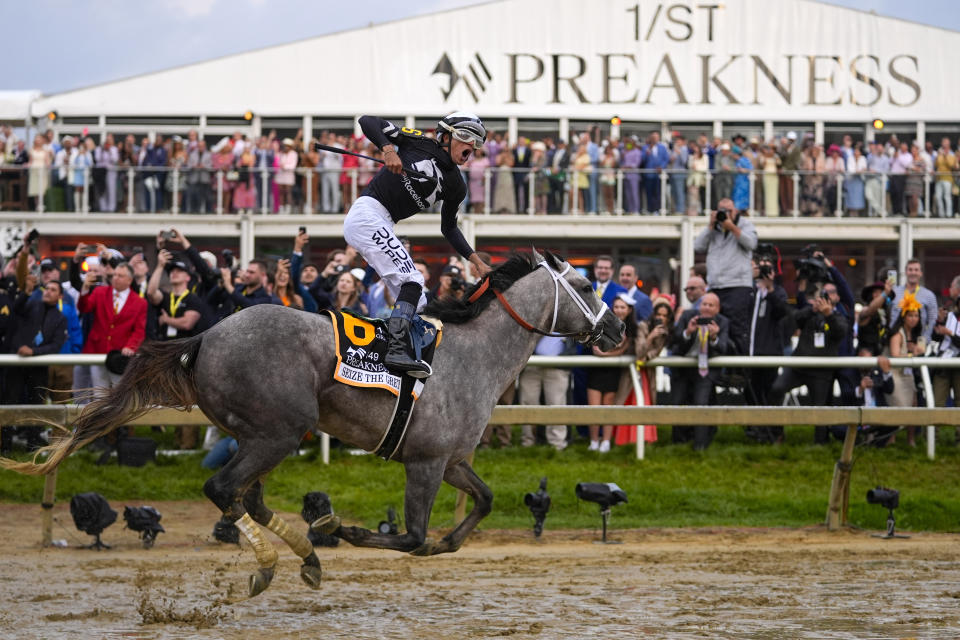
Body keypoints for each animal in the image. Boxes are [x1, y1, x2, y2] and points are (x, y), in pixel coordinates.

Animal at [3, 249, 624, 596]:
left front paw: (442, 541)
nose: (617, 329)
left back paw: (306, 556)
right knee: (223, 488)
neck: (474, 355)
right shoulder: (424, 463)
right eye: (585, 287)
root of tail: (206, 336)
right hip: (278, 430)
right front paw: (343, 527)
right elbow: (412, 536)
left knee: (246, 497)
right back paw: (274, 562)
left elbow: (479, 507)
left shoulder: (451, 461)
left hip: (257, 433)